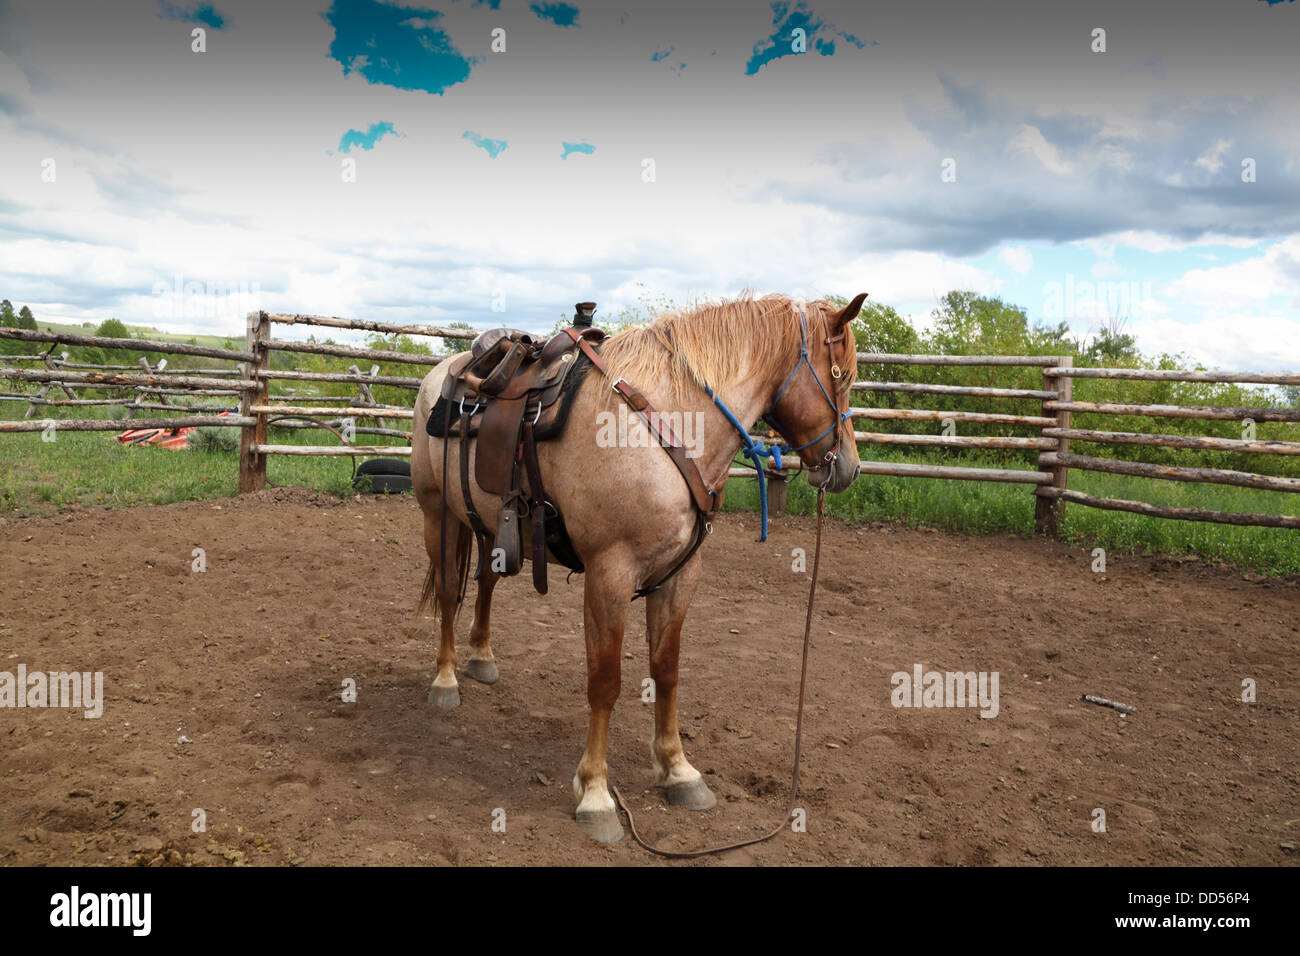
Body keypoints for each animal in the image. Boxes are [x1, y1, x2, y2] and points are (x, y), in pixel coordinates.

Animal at [410, 293, 868, 842]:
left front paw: (678, 771)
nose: (849, 468)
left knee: (484, 583)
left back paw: (480, 656)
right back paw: (445, 680)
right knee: (449, 591)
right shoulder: (610, 574)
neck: (669, 421)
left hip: (488, 526)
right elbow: (605, 683)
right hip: (438, 515)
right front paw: (595, 793)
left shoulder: (679, 576)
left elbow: (666, 672)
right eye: (842, 375)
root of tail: (446, 371)